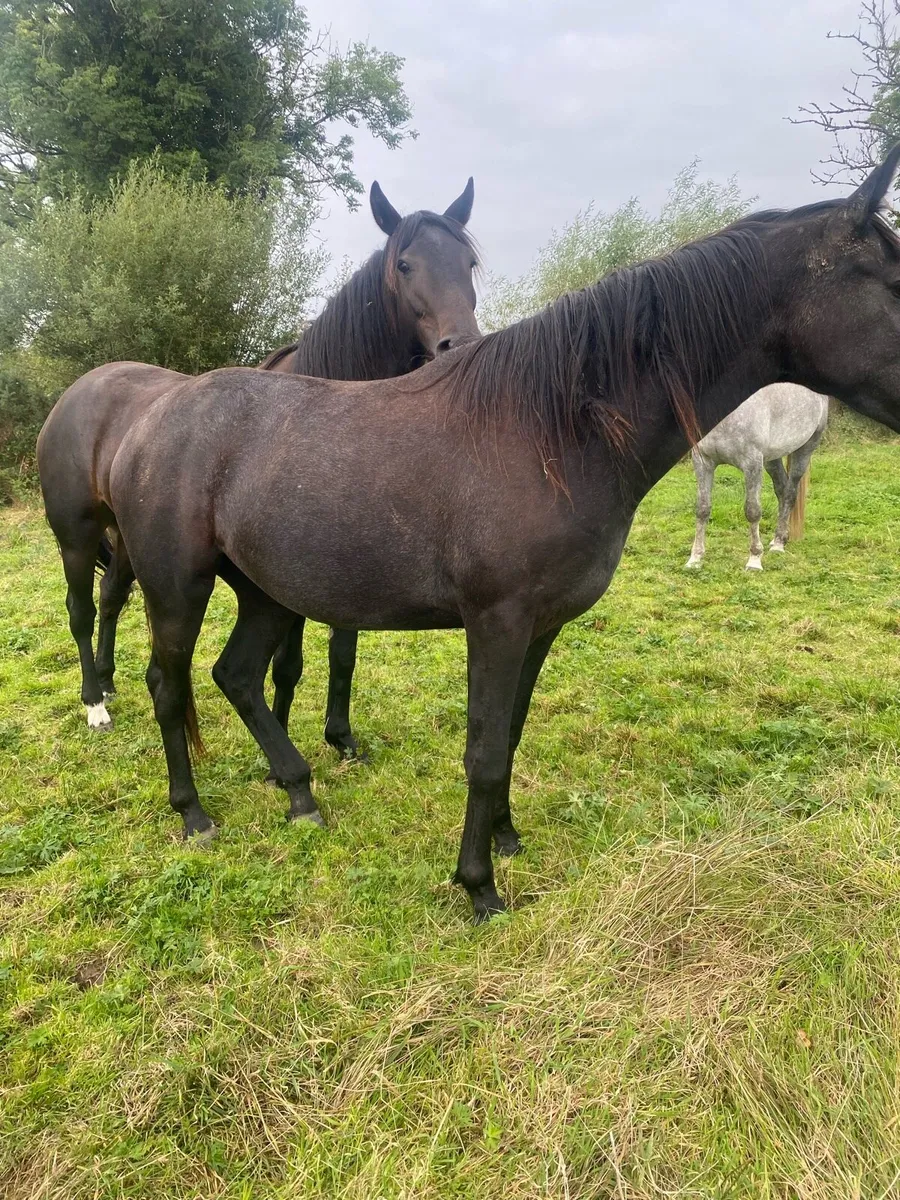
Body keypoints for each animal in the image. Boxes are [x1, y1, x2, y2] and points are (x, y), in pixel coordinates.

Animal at [36, 179, 479, 735]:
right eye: (404, 264)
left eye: (468, 262)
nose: (459, 346)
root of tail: (77, 392)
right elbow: (287, 665)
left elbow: (343, 652)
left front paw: (340, 736)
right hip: (76, 535)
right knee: (80, 609)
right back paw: (94, 702)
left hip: (131, 541)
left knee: (111, 594)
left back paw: (109, 678)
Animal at [685, 383, 830, 570]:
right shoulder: (702, 461)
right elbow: (702, 509)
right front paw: (695, 559)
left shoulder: (752, 463)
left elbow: (752, 511)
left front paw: (754, 560)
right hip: (771, 457)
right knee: (782, 489)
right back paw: (778, 538)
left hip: (806, 448)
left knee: (790, 493)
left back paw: (778, 544)